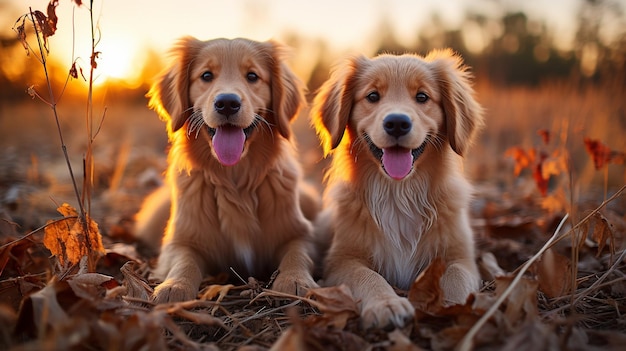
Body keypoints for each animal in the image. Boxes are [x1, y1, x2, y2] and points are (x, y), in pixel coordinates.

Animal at [137, 37, 320, 304]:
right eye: (206, 75)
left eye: (252, 76)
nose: (227, 103)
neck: (234, 179)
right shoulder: (181, 240)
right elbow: (184, 260)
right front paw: (175, 286)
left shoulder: (300, 233)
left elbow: (297, 253)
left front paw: (295, 279)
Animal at [312, 50, 482, 330]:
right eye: (372, 96)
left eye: (422, 97)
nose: (397, 123)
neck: (398, 191)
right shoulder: (341, 261)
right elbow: (367, 276)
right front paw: (386, 304)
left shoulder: (461, 258)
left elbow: (456, 277)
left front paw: (453, 306)